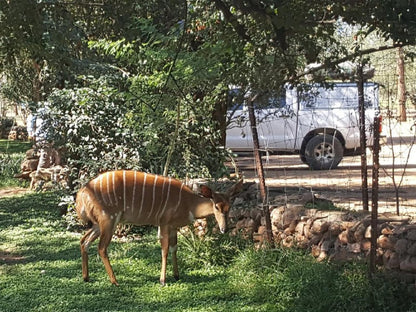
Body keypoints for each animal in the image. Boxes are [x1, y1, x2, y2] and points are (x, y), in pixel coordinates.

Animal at [76, 171, 242, 286]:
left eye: (229, 207)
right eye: (216, 207)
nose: (224, 229)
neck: (189, 203)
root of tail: (81, 194)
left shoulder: (174, 227)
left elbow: (175, 248)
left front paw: (176, 275)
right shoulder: (164, 223)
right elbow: (165, 249)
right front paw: (162, 280)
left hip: (99, 224)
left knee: (84, 241)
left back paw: (86, 277)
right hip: (109, 220)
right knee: (101, 247)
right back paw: (114, 281)